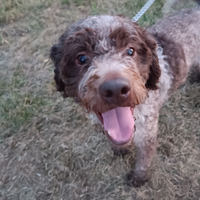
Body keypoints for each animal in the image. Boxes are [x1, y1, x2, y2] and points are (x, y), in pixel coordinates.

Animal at [50, 7, 200, 186]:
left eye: (130, 50)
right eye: (81, 58)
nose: (115, 89)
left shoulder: (147, 133)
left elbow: (144, 159)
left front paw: (139, 178)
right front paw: (121, 149)